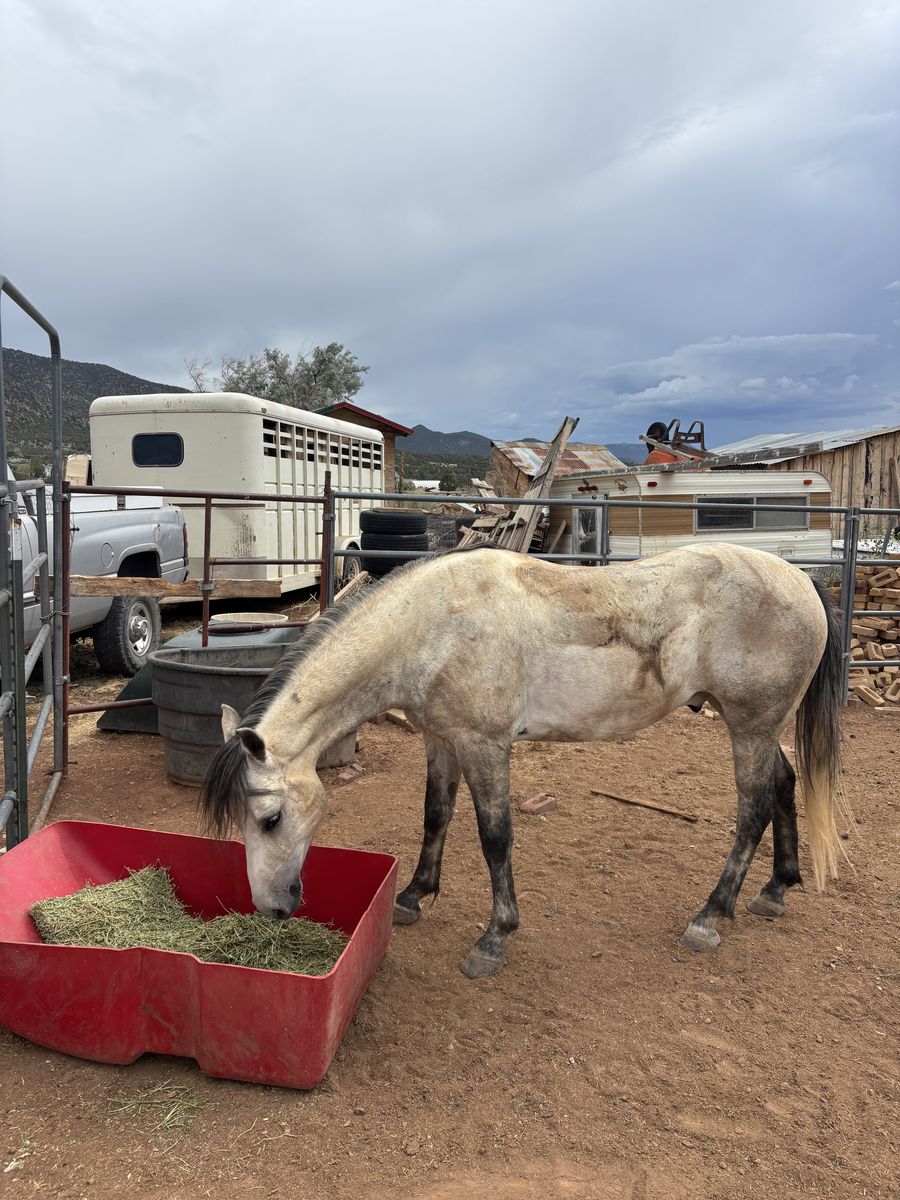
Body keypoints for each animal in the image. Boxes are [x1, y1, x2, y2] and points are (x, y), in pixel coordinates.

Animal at [199, 541, 848, 979]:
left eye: (270, 819)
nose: (273, 909)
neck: (433, 626)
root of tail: (801, 579)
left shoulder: (486, 745)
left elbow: (495, 836)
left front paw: (494, 938)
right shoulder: (442, 739)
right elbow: (435, 815)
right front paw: (412, 897)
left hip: (750, 725)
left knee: (753, 809)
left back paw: (710, 915)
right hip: (757, 727)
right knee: (784, 783)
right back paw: (776, 889)